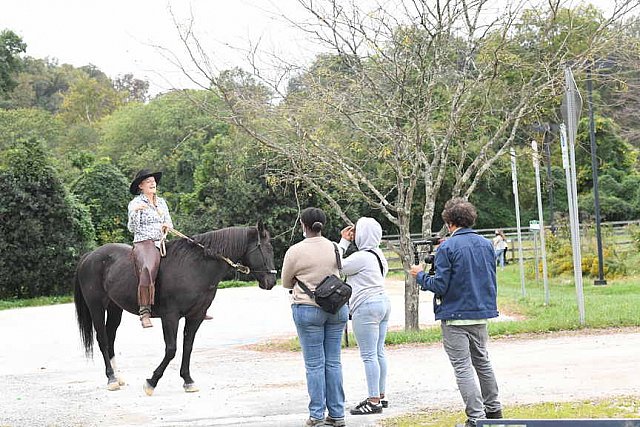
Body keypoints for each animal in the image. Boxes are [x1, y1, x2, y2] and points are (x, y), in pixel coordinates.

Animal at [73, 222, 278, 396]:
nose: (271, 281)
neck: (195, 267)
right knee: (102, 340)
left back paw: (118, 376)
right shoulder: (170, 317)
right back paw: (111, 378)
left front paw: (188, 380)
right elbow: (171, 349)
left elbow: (188, 347)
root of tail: (89, 256)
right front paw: (151, 382)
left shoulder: (195, 316)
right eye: (266, 248)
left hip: (115, 308)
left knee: (111, 338)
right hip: (96, 307)